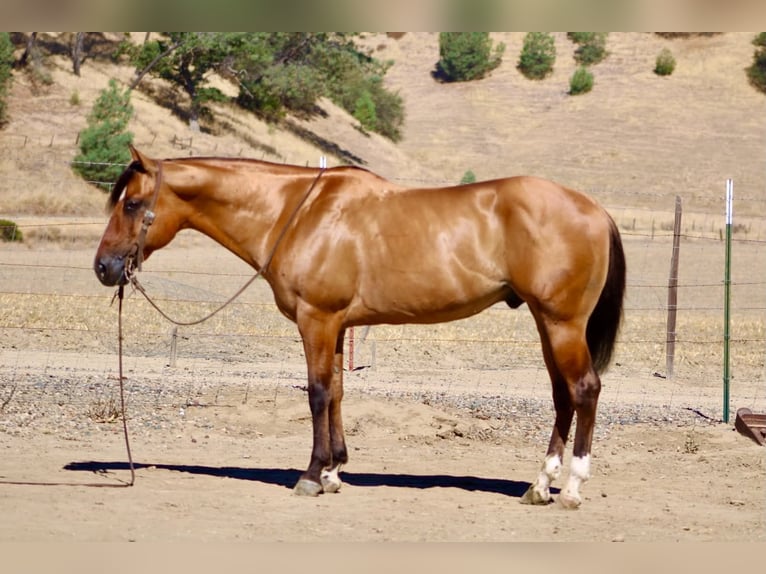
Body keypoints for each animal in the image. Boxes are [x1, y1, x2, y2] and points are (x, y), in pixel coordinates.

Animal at [95, 145, 625, 509]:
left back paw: (572, 487)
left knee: (584, 389)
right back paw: (540, 484)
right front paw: (334, 471)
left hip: (561, 322)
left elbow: (316, 393)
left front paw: (311, 476)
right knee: (562, 395)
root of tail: (594, 208)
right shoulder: (333, 325)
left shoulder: (316, 319)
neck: (296, 213)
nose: (103, 267)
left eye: (130, 204)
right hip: (546, 322)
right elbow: (336, 392)